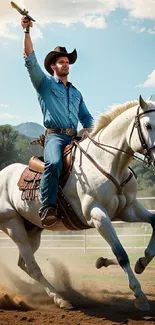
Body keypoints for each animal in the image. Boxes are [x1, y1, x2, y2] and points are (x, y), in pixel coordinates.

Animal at [0, 95, 155, 310]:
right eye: (148, 125)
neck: (107, 163)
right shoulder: (97, 216)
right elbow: (121, 254)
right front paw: (139, 294)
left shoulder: (128, 209)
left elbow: (154, 223)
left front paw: (140, 262)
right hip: (14, 227)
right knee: (32, 266)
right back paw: (60, 299)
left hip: (32, 230)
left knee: (23, 264)